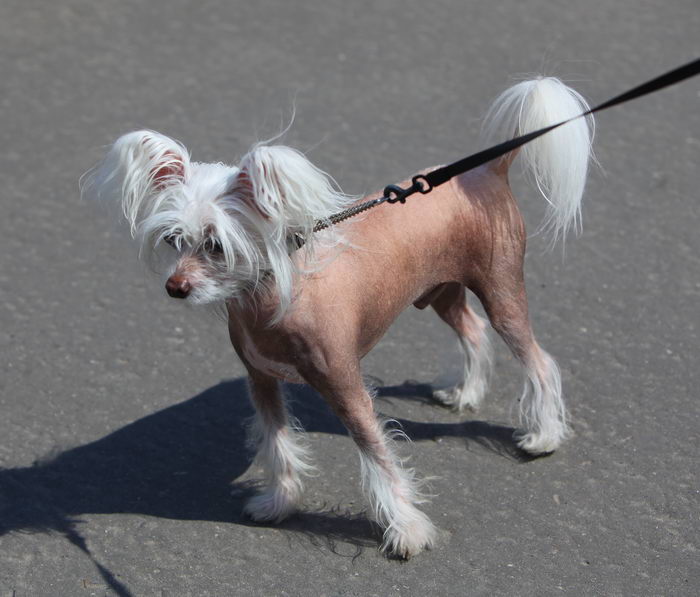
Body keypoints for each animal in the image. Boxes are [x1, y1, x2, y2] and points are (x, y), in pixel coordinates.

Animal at [85, 77, 592, 556]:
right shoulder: (261, 382)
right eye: (174, 239)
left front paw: (406, 532)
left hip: (502, 290)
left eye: (216, 245)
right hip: (441, 294)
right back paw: (466, 392)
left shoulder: (347, 388)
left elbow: (379, 458)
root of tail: (487, 169)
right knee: (472, 330)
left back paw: (544, 436)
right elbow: (278, 444)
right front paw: (280, 503)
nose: (176, 287)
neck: (272, 301)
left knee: (537, 360)